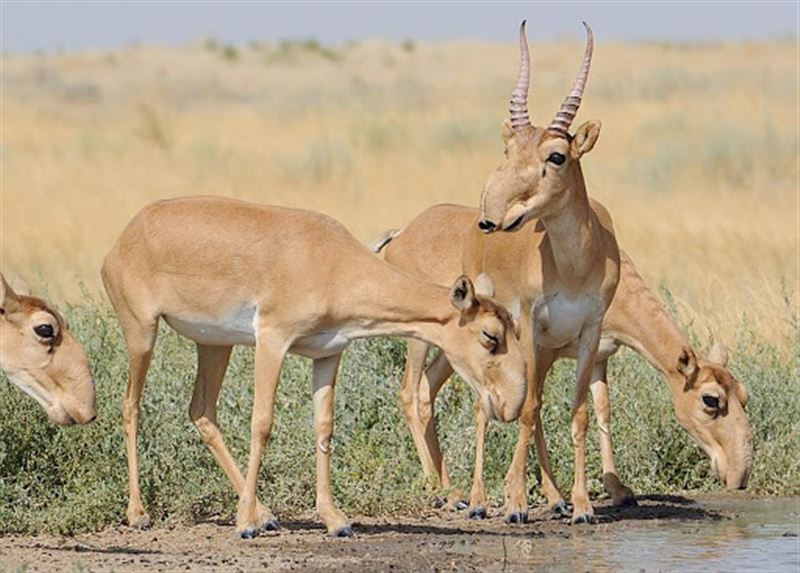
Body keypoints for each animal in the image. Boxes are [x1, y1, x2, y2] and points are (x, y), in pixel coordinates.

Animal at [100, 196, 528, 536]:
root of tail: (124, 238)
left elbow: (324, 427)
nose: (508, 405)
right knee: (130, 406)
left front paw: (335, 520)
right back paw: (139, 513)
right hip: (143, 334)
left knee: (202, 412)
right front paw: (243, 525)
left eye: (513, 327)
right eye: (490, 335)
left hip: (214, 346)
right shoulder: (272, 341)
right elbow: (262, 423)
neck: (330, 260)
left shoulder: (327, 355)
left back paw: (265, 513)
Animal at [378, 202, 752, 520]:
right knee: (410, 391)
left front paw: (617, 489)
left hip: (453, 350)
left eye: (744, 396)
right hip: (421, 339)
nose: (741, 476)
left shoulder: (598, 356)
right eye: (710, 399)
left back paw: (451, 490)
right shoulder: (544, 351)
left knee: (427, 389)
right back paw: (443, 491)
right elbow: (535, 410)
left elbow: (601, 410)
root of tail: (401, 233)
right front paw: (552, 498)